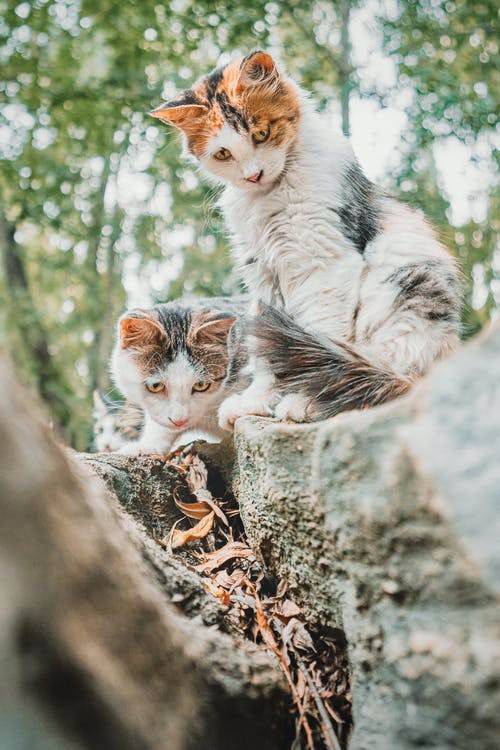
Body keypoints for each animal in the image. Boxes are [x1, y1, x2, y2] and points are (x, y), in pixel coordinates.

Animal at [151, 50, 460, 428]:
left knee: (381, 378)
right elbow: (270, 358)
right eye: (223, 153)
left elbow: (319, 336)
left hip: (405, 294)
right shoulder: (264, 274)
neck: (268, 197)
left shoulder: (324, 262)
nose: (253, 175)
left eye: (261, 133)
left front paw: (302, 399)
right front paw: (257, 401)